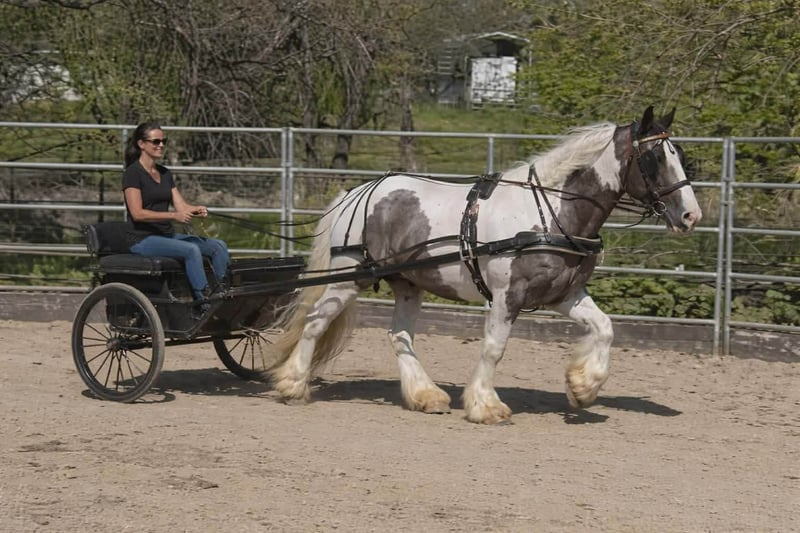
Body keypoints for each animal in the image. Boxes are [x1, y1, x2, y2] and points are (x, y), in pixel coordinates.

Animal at [266, 106, 702, 424]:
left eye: (681, 156)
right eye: (654, 158)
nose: (690, 216)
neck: (549, 213)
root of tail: (357, 192)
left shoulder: (566, 295)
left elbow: (606, 328)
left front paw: (583, 387)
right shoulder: (507, 296)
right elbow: (494, 348)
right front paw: (485, 405)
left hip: (407, 283)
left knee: (399, 336)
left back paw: (425, 395)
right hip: (348, 278)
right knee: (315, 322)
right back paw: (293, 385)